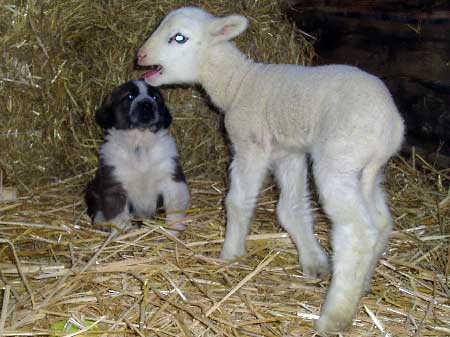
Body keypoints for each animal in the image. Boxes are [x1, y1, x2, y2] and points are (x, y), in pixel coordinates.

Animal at [85, 80, 189, 234]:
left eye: (155, 97)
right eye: (130, 96)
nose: (147, 104)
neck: (140, 142)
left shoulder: (171, 178)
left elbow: (175, 205)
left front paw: (173, 229)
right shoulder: (115, 185)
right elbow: (118, 214)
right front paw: (122, 232)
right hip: (92, 187)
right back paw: (101, 222)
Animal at [136, 6, 404, 332]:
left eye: (179, 38)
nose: (140, 55)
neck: (237, 83)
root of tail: (391, 125)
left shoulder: (250, 146)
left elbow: (237, 202)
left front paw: (229, 253)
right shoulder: (288, 153)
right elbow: (292, 209)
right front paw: (313, 261)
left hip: (338, 159)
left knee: (357, 233)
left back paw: (334, 316)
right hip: (367, 170)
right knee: (381, 222)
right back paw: (361, 286)